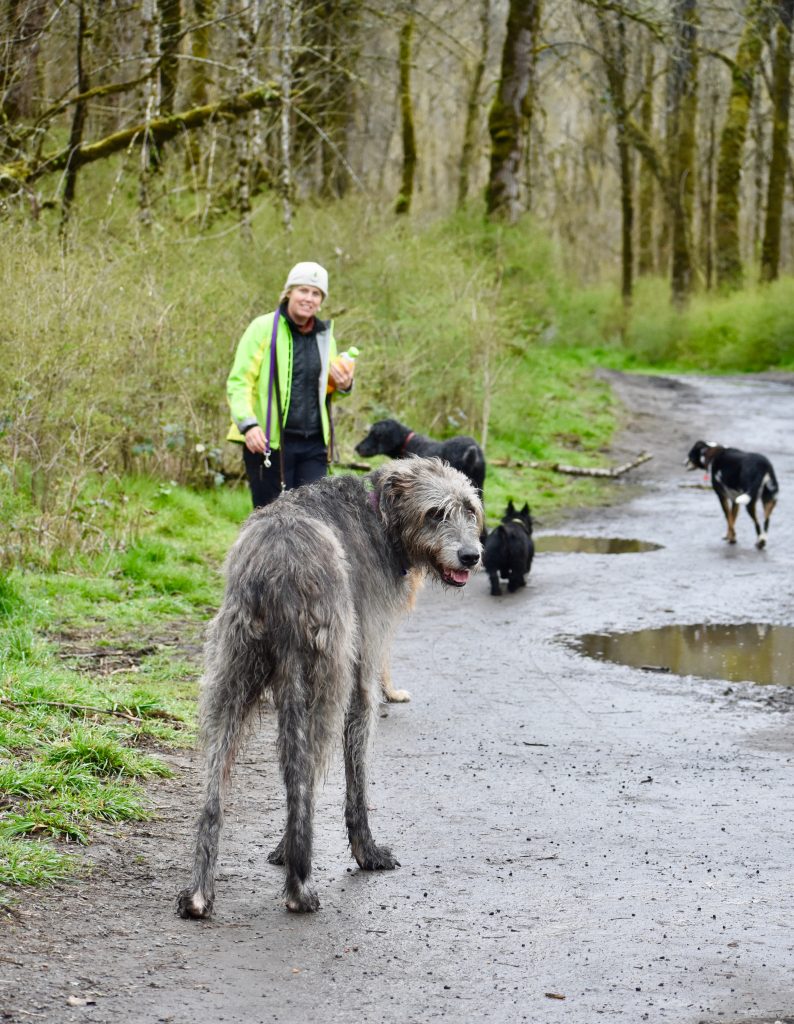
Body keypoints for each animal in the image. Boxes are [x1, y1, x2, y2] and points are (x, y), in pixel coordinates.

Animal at [176, 460, 481, 917]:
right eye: (435, 513)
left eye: (470, 510)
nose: (471, 556)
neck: (380, 516)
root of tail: (279, 564)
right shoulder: (362, 673)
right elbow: (356, 776)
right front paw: (367, 851)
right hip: (326, 675)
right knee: (306, 773)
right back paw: (299, 887)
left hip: (230, 672)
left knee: (218, 792)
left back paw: (199, 894)